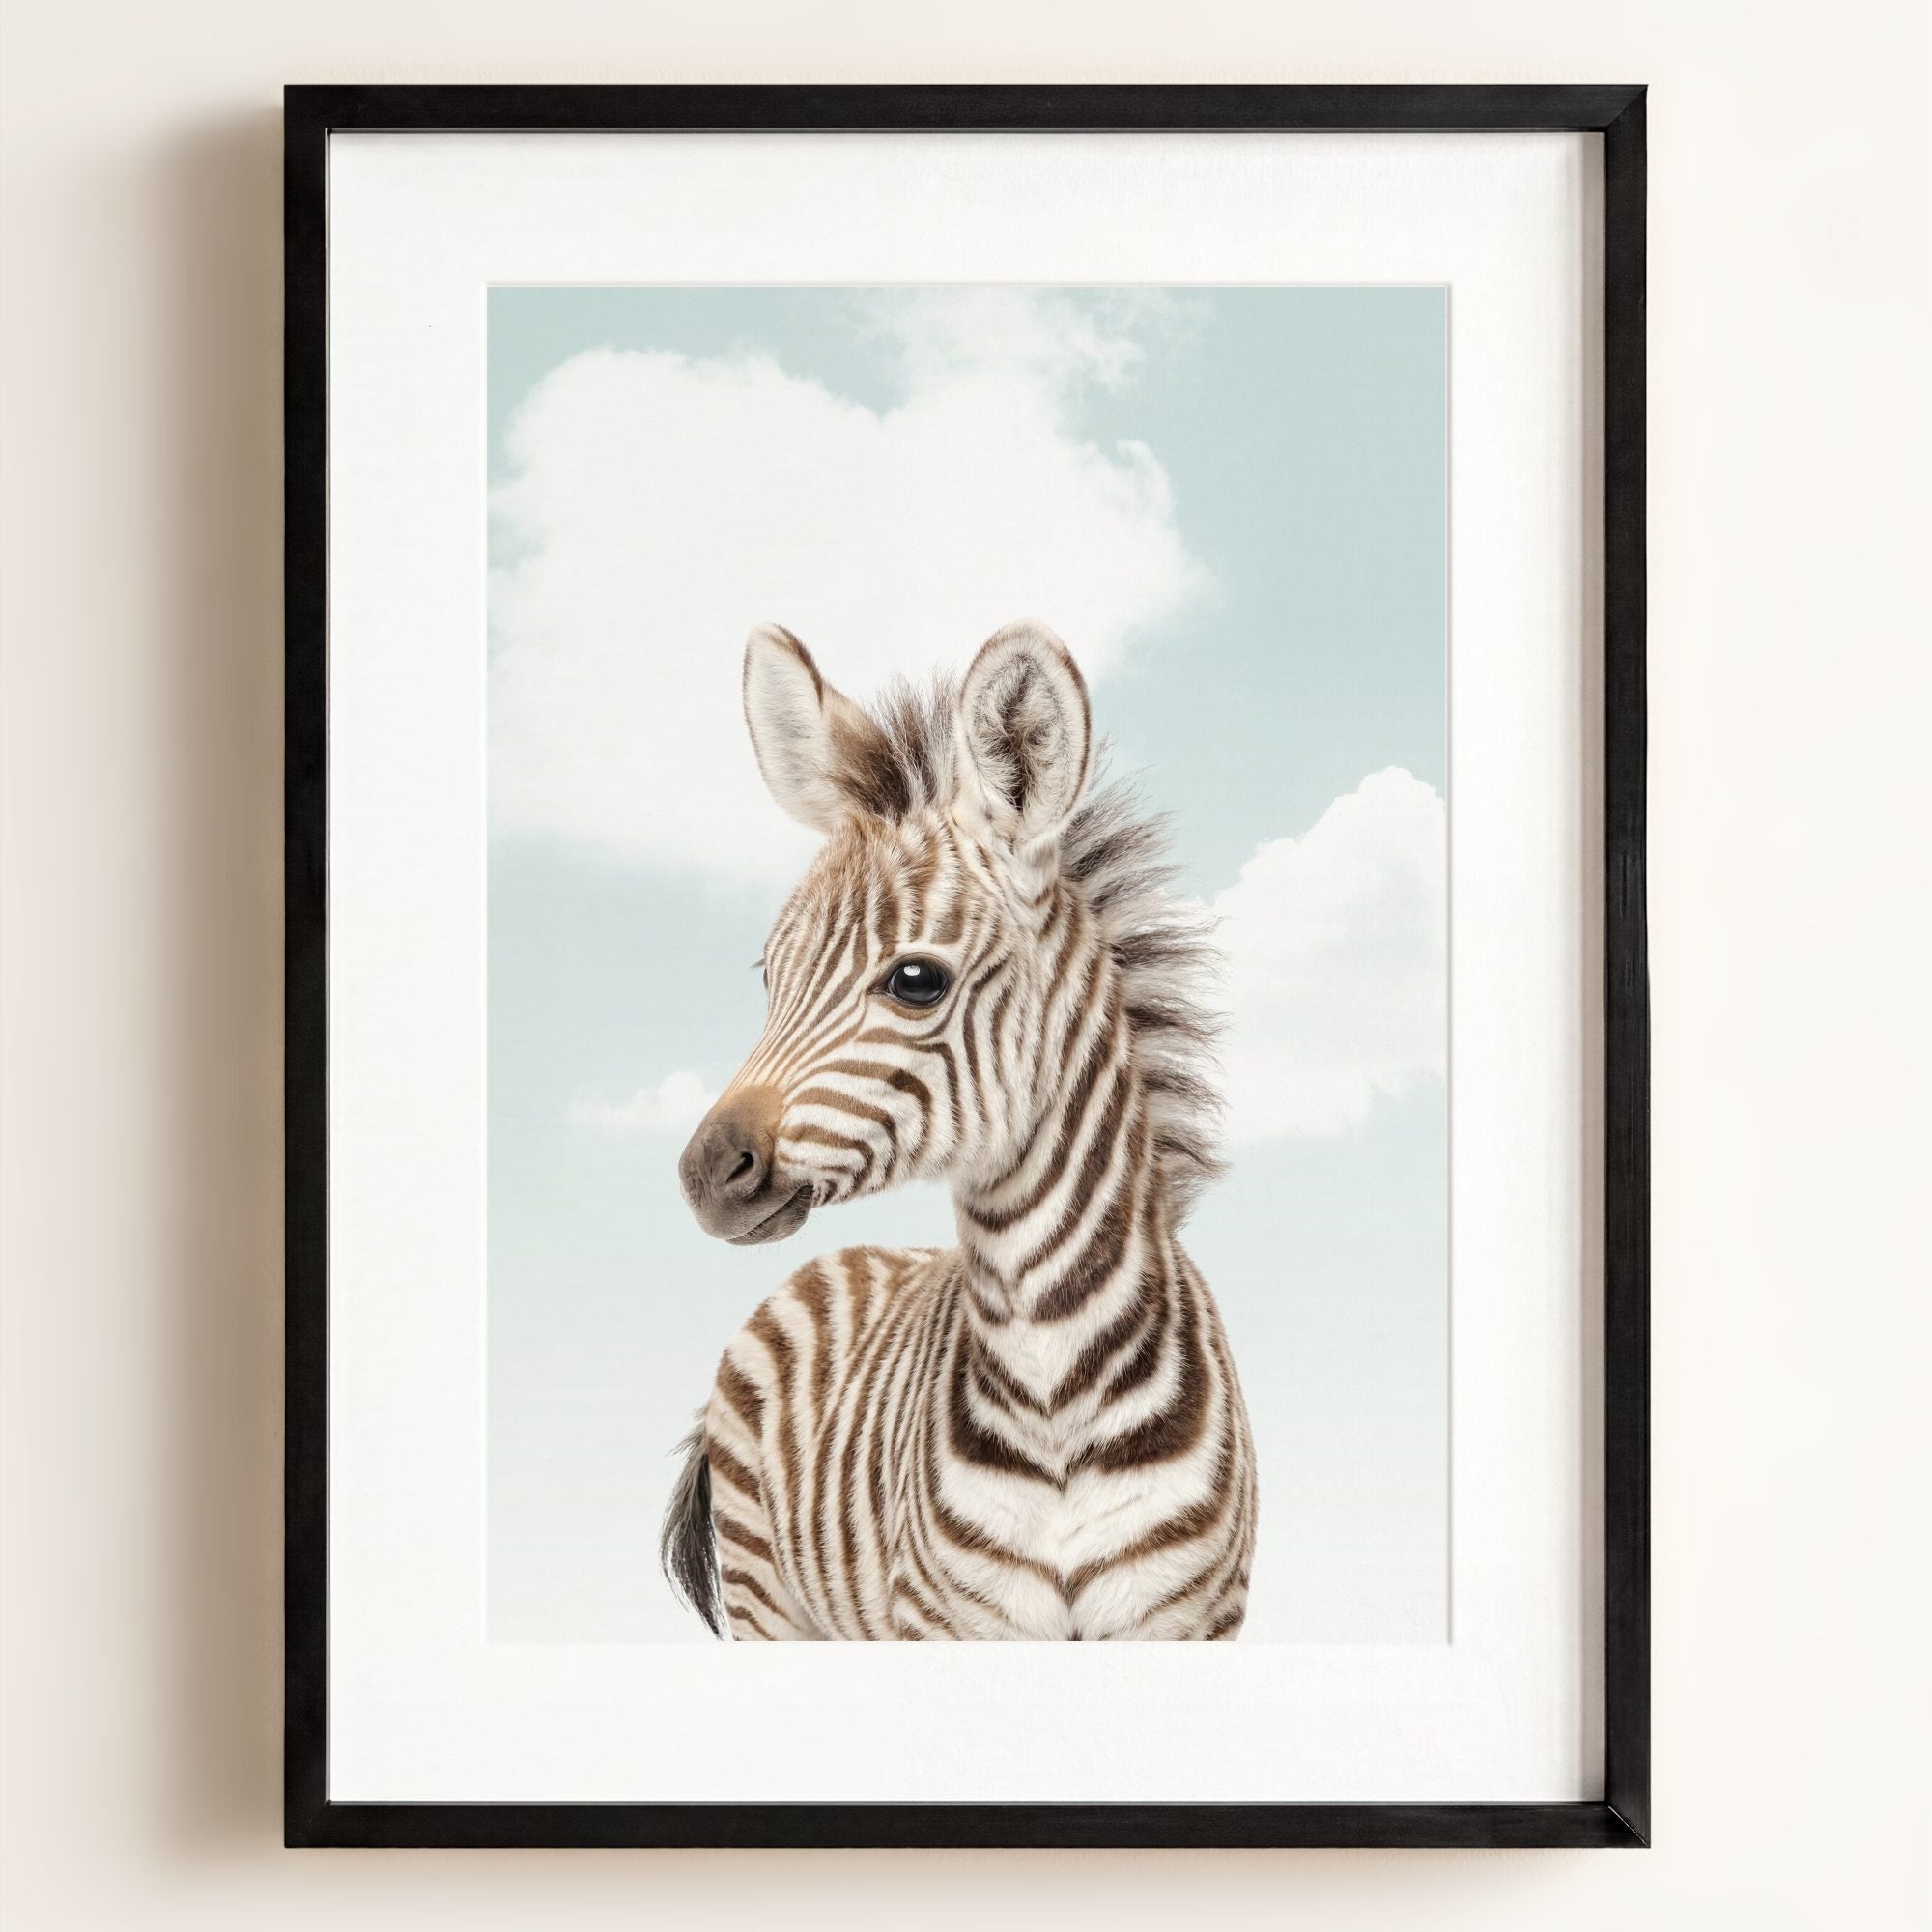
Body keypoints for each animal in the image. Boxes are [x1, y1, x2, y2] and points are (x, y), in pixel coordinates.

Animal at [662, 620, 1257, 1640]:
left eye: (916, 981)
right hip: (768, 1597)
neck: (1055, 1384)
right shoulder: (950, 1623)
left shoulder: (1190, 1622)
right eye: (770, 976)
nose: (705, 1172)